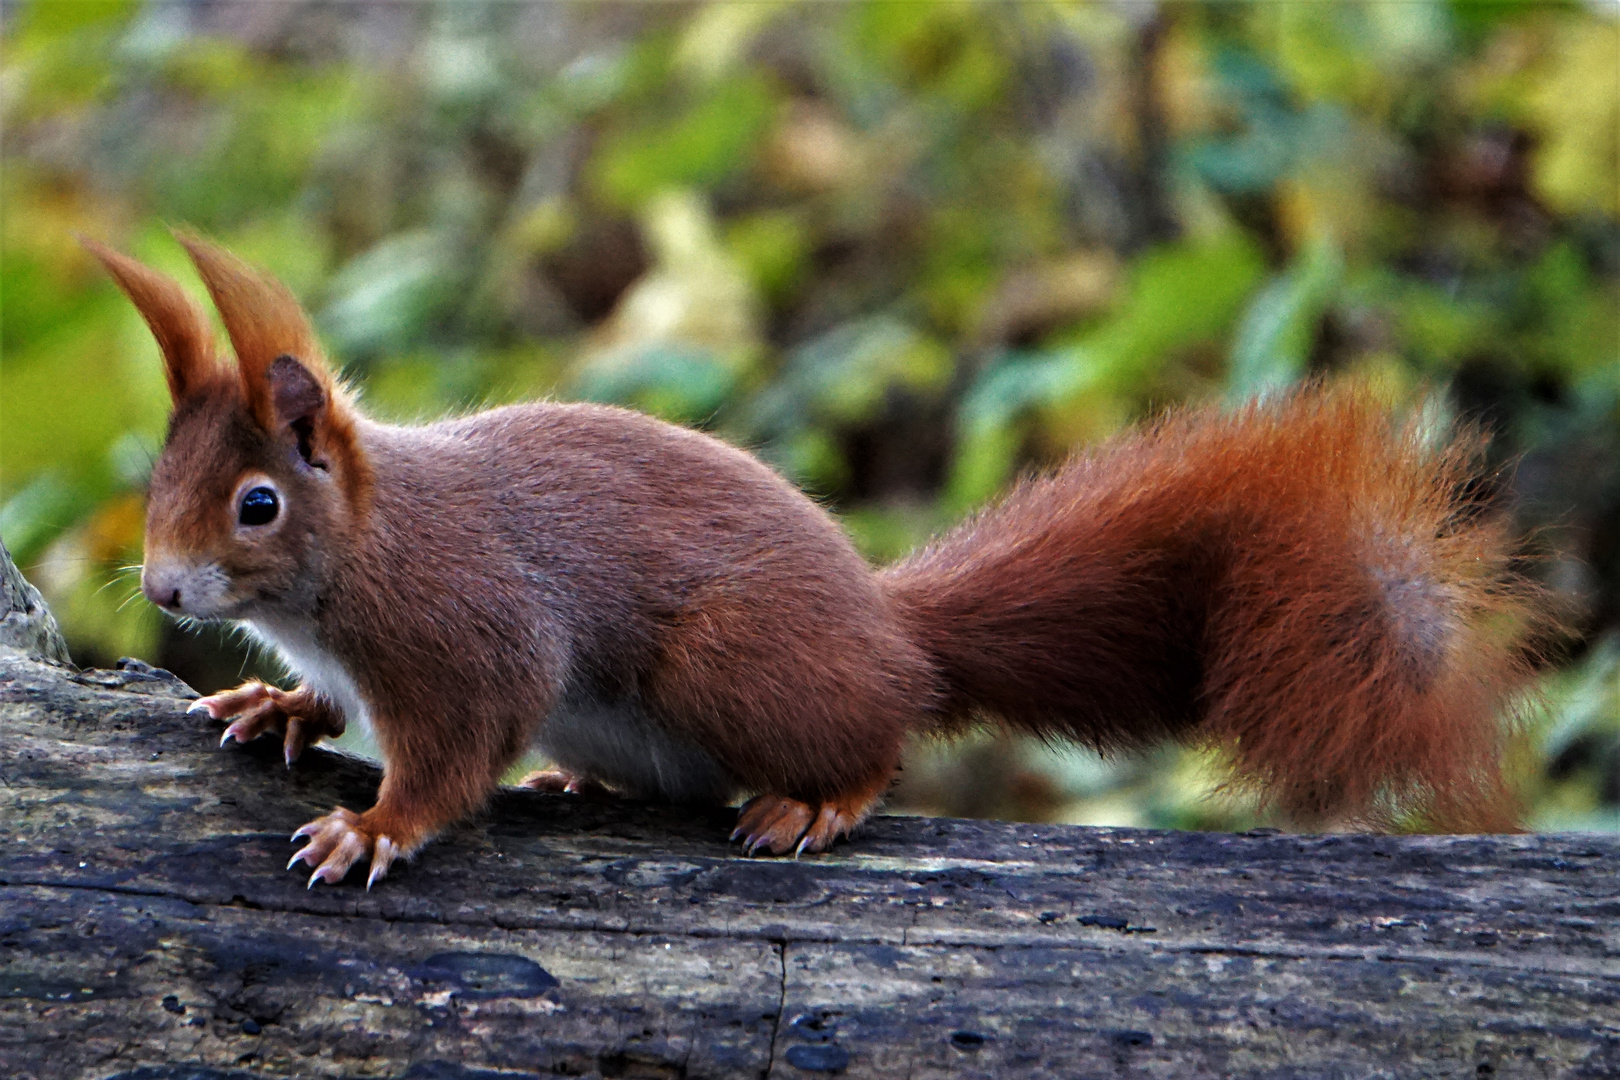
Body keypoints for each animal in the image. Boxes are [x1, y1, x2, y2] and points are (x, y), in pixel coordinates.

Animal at [88, 234, 1542, 887]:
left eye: (258, 504)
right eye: (156, 483)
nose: (162, 589)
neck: (360, 555)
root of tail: (896, 634)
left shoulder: (466, 629)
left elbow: (454, 751)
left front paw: (373, 826)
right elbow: (327, 699)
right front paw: (276, 702)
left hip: (733, 663)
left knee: (882, 745)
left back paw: (820, 802)